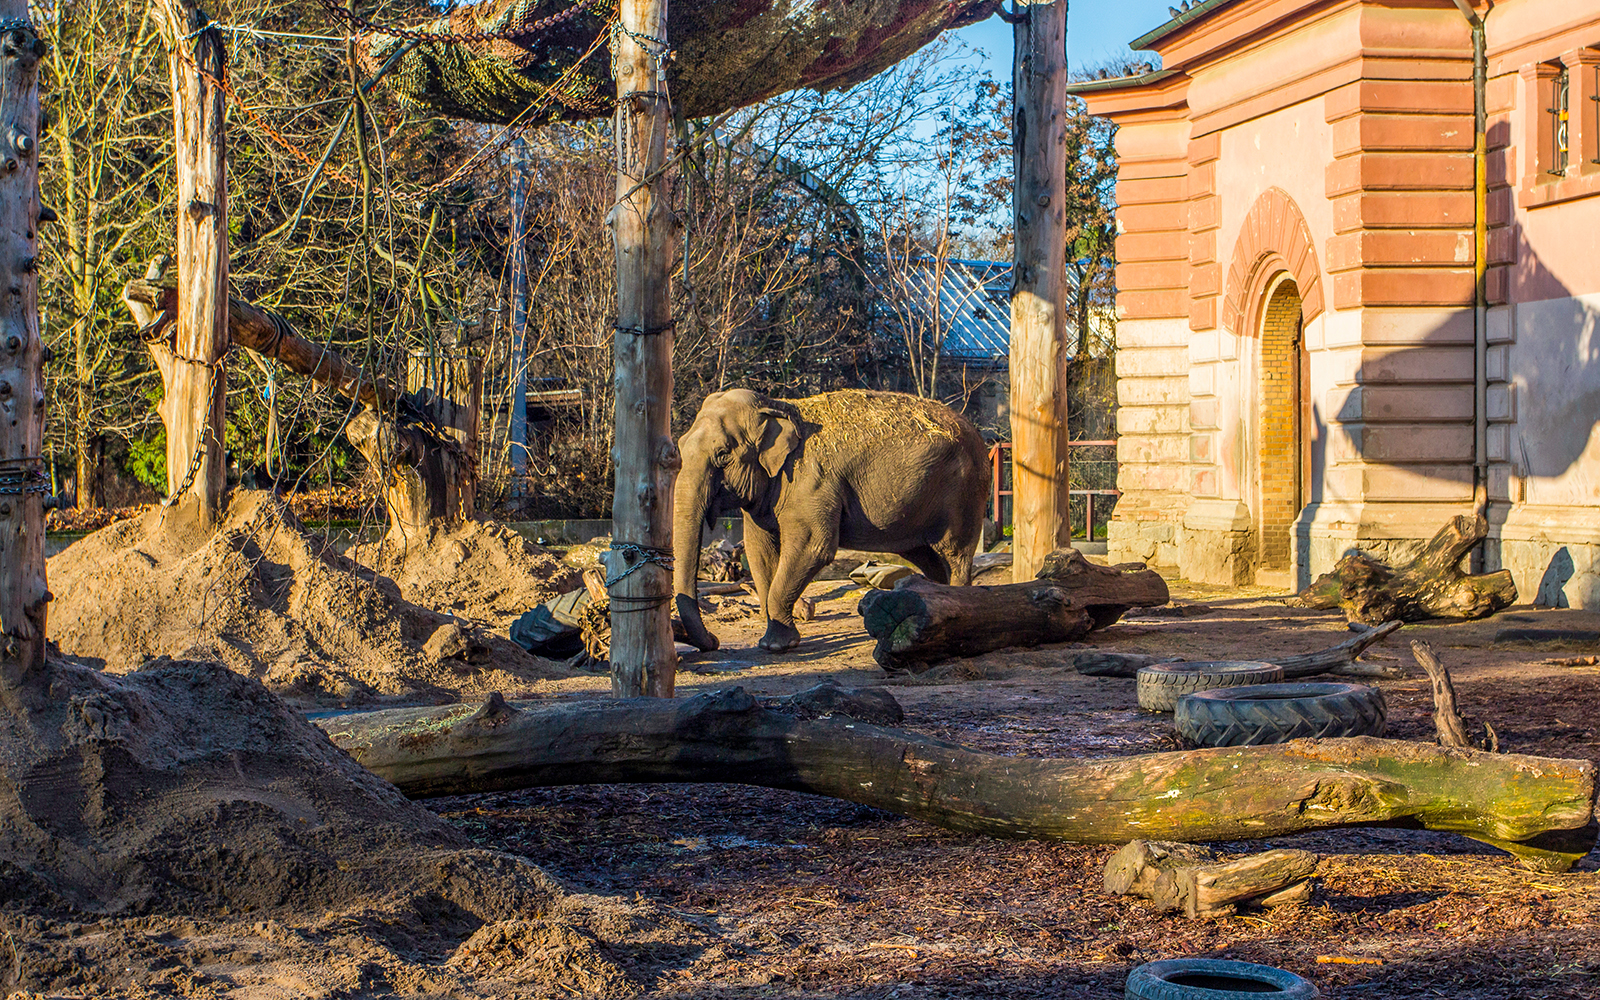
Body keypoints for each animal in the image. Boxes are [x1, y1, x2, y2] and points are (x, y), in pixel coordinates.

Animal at [673, 387, 991, 653]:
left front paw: (777, 646)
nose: (714, 641)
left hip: (964, 494)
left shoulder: (812, 482)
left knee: (955, 554)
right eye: (680, 444)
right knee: (928, 557)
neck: (776, 405)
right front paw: (773, 638)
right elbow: (758, 551)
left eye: (722, 454)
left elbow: (813, 547)